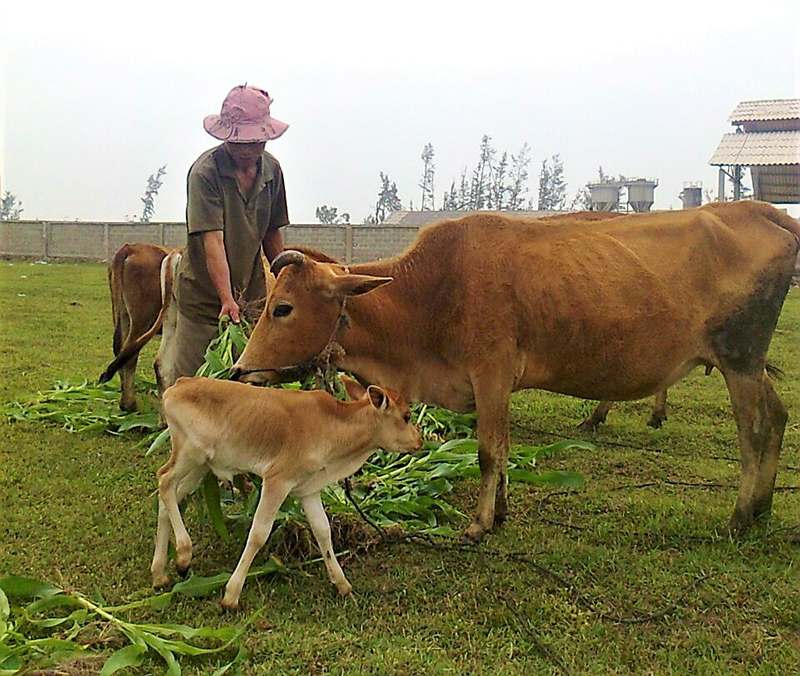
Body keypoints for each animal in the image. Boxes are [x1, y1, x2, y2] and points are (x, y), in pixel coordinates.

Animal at [228, 199, 796, 540]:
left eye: (283, 308)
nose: (239, 371)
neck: (430, 292)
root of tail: (760, 212)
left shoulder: (492, 375)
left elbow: (487, 453)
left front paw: (480, 524)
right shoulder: (493, 387)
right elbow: (501, 451)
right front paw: (499, 511)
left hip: (739, 361)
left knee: (754, 432)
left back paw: (740, 516)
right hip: (750, 367)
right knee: (778, 419)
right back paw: (764, 506)